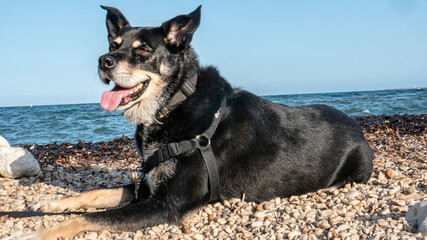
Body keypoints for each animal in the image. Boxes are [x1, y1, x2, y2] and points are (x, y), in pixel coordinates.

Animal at [20, 5, 374, 240]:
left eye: (143, 51)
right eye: (113, 46)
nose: (103, 61)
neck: (174, 104)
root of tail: (358, 126)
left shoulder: (165, 204)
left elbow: (88, 218)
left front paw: (31, 234)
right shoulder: (145, 188)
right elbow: (94, 196)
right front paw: (49, 202)